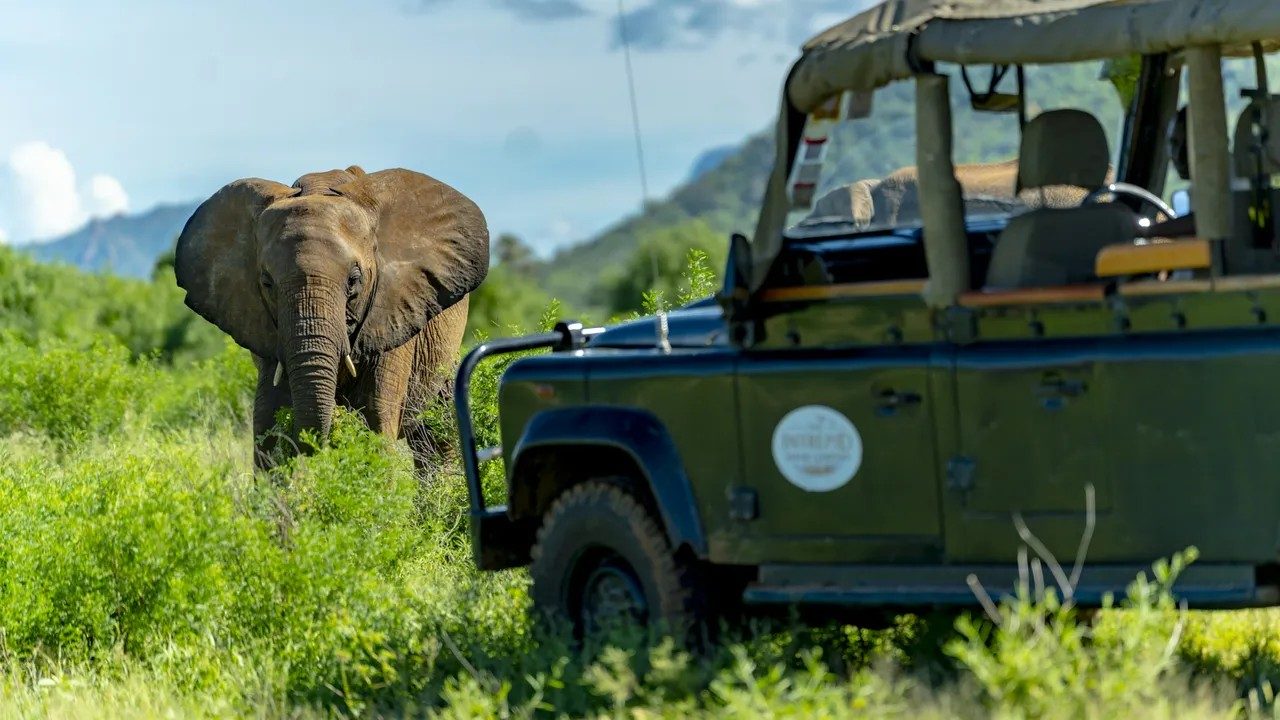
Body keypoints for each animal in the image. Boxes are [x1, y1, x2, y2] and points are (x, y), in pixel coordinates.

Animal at [174, 165, 490, 471]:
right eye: (266, 282)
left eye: (354, 280)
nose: (335, 421)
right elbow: (269, 427)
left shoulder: (393, 313)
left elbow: (375, 425)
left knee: (435, 438)